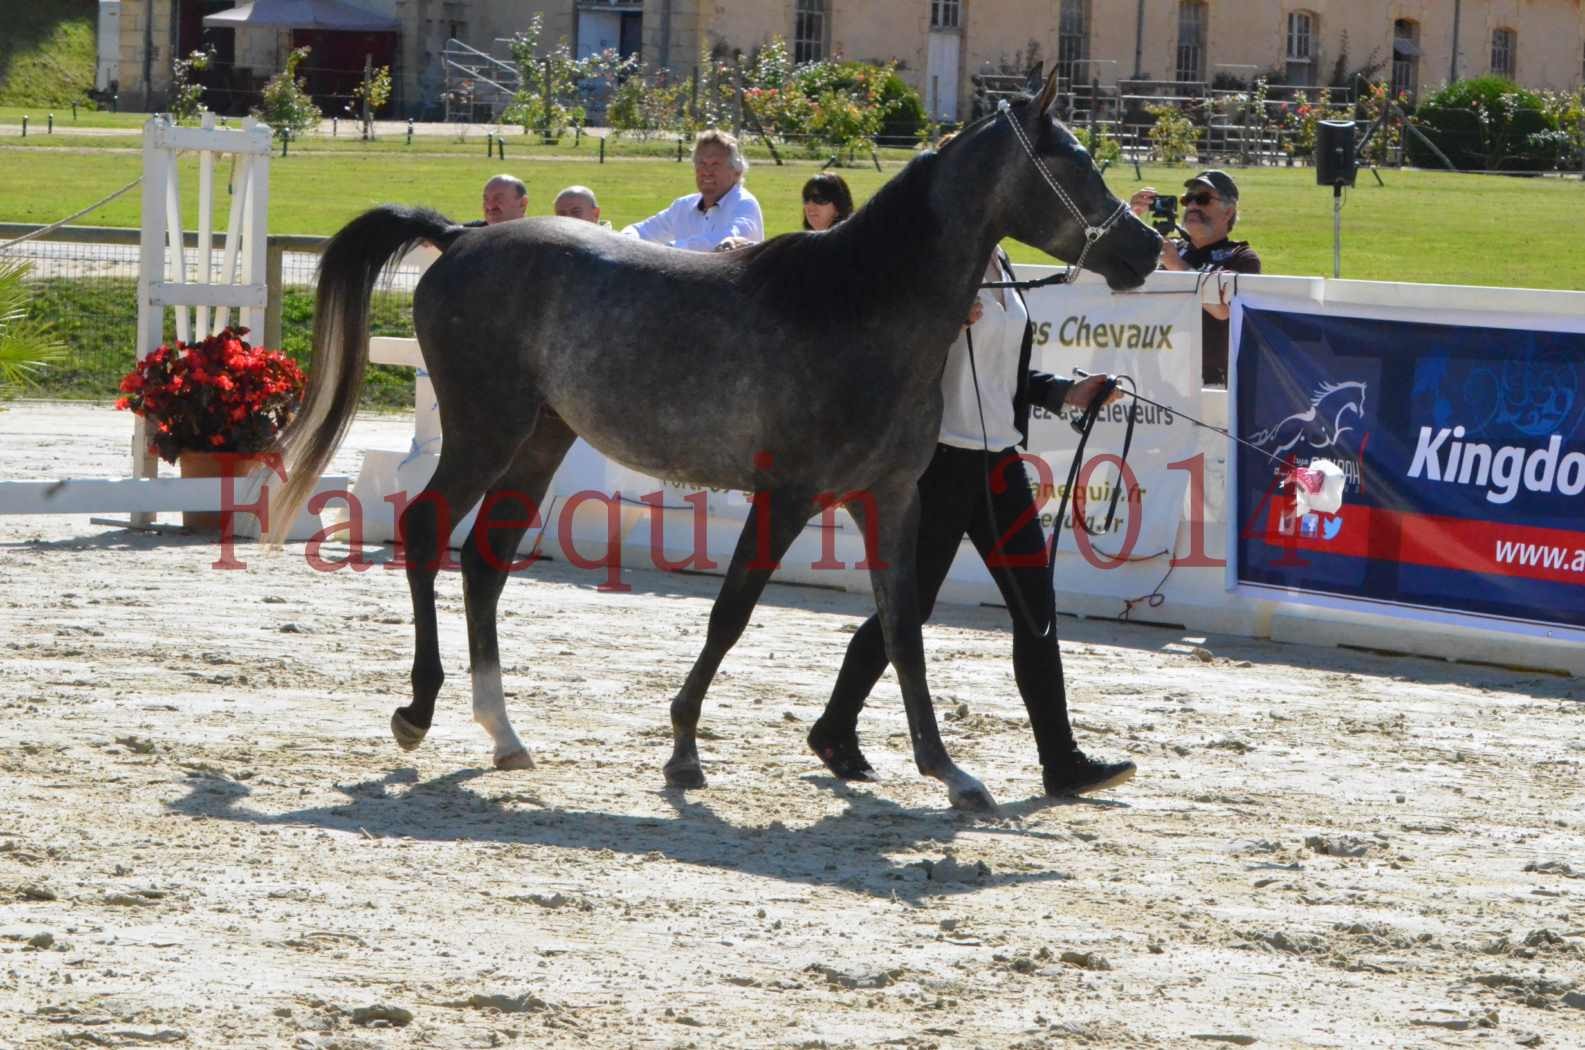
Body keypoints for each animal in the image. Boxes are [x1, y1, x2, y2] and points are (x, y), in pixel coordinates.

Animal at [272, 69, 1160, 812]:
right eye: (1075, 162)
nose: (1145, 247)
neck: (857, 306)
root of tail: (458, 238)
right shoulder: (788, 495)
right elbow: (730, 615)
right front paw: (683, 753)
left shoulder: (890, 499)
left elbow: (900, 630)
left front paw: (950, 772)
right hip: (484, 430)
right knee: (427, 531)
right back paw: (417, 712)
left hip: (539, 441)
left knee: (486, 560)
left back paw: (503, 734)